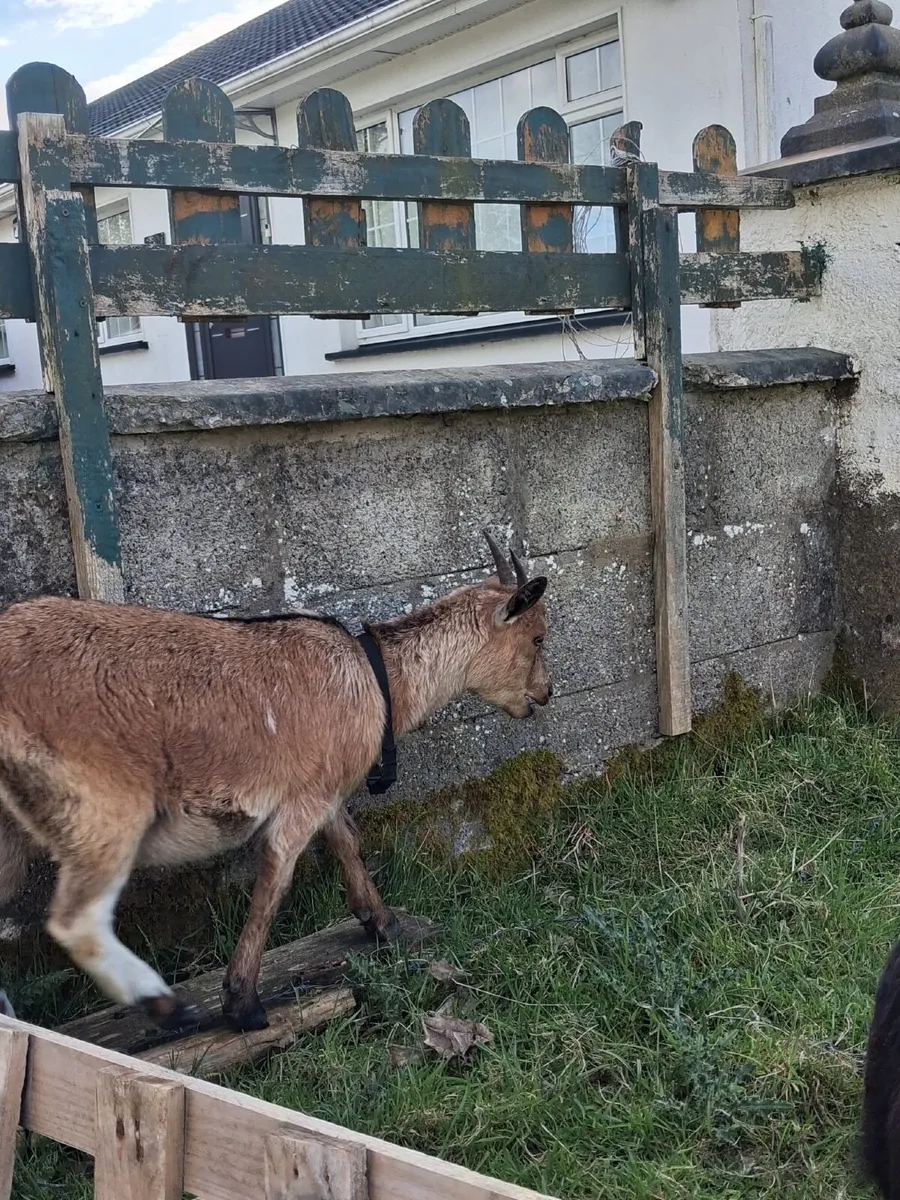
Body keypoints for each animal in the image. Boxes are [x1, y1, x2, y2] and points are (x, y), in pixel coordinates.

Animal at [0, 532, 550, 1033]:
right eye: (538, 636)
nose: (544, 694)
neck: (376, 682)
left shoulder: (324, 789)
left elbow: (347, 840)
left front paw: (381, 921)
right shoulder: (301, 799)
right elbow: (275, 880)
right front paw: (242, 1003)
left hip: (15, 825)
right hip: (103, 801)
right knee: (76, 919)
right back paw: (164, 1005)